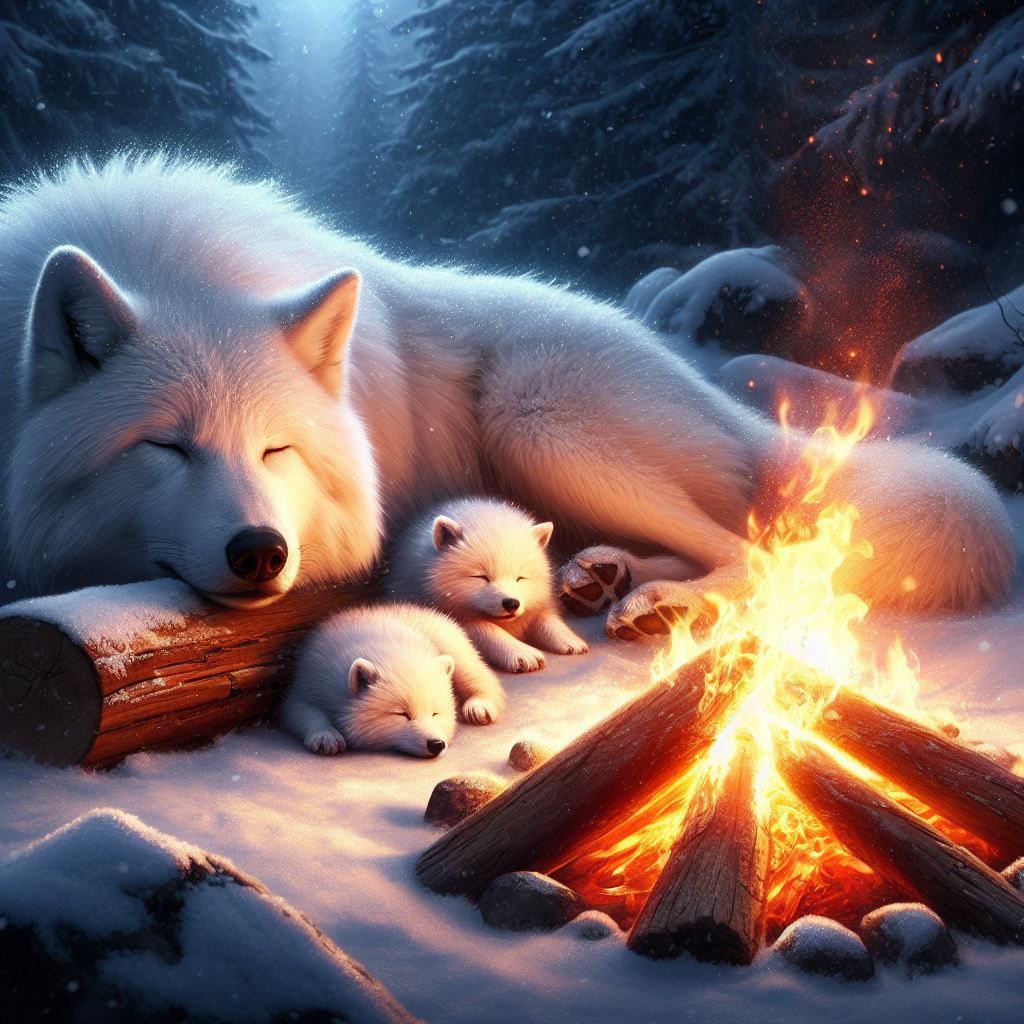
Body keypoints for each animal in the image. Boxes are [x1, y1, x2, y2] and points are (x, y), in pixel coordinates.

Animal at [0, 156, 1014, 635]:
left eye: (275, 449)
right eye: (165, 447)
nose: (260, 550)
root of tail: (719, 401)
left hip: (534, 421)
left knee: (757, 550)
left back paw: (662, 605)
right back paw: (606, 578)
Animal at [281, 602, 505, 757]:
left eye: (435, 712)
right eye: (401, 714)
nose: (436, 744)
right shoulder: (309, 677)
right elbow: (297, 709)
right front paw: (327, 737)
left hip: (449, 641)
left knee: (476, 672)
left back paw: (479, 707)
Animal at [389, 496, 588, 672]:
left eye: (520, 577)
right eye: (481, 577)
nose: (512, 603)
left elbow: (546, 620)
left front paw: (570, 639)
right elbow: (487, 630)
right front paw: (521, 653)